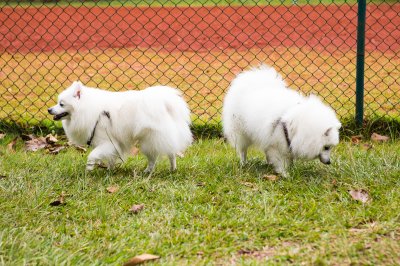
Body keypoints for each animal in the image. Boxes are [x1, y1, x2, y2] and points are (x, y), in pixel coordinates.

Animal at [48, 81, 192, 172]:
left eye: (61, 104)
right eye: (57, 102)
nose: (49, 109)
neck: (88, 109)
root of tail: (163, 103)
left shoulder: (107, 142)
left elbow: (92, 155)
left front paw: (89, 169)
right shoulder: (114, 144)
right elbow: (111, 158)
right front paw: (110, 170)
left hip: (149, 141)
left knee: (156, 157)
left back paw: (149, 171)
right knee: (170, 153)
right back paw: (171, 169)